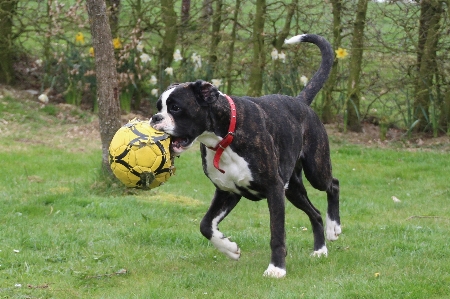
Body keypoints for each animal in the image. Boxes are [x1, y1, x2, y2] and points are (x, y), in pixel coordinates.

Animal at [149, 34, 340, 278]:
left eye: (175, 107)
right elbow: (206, 225)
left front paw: (276, 269)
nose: (155, 118)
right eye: (159, 107)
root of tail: (300, 101)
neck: (225, 136)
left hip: (315, 169)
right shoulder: (228, 191)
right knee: (314, 213)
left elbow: (277, 234)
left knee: (333, 185)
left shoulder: (273, 190)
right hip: (292, 189)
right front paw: (229, 249)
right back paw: (320, 250)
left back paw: (334, 227)